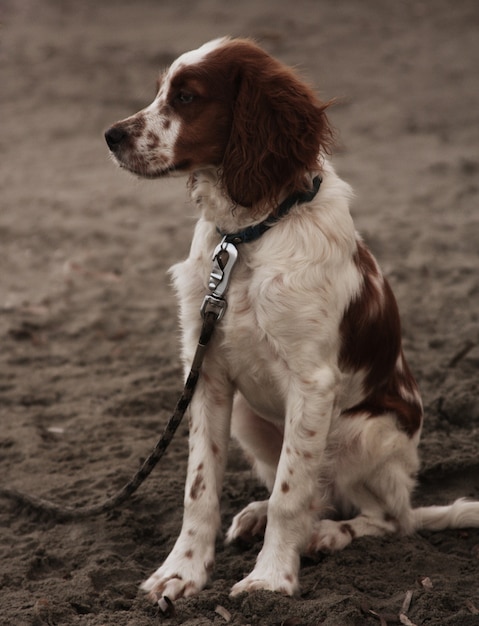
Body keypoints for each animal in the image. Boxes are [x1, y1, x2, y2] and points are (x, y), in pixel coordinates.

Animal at [105, 37, 479, 600]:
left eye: (187, 97)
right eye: (160, 91)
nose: (111, 136)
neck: (246, 237)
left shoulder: (312, 380)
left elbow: (291, 492)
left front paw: (270, 580)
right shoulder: (207, 373)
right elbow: (200, 488)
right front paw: (181, 572)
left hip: (360, 430)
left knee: (389, 518)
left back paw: (328, 534)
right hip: (250, 418)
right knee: (323, 494)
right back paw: (263, 518)